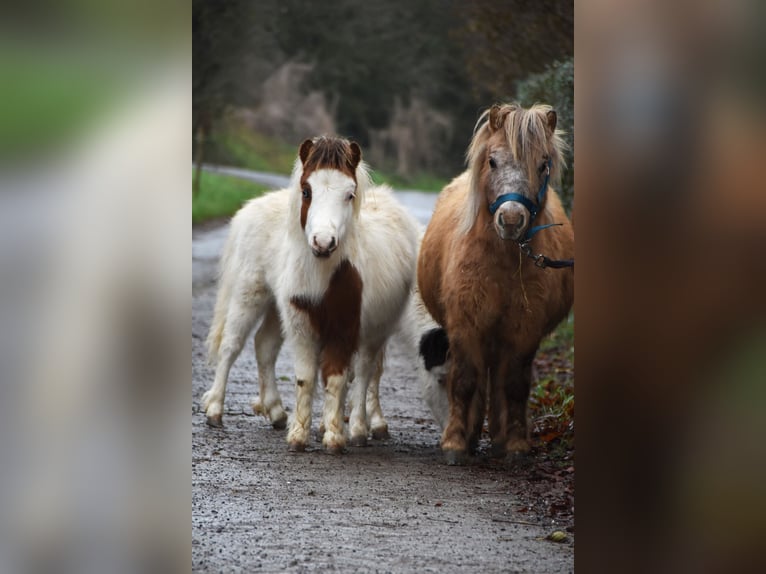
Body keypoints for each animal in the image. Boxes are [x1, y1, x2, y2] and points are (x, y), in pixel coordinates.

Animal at [202, 136, 420, 454]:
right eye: (306, 190)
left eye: (350, 194)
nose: (323, 242)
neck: (326, 277)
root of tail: (249, 209)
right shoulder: (302, 322)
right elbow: (306, 378)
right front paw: (300, 436)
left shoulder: (346, 328)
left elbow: (337, 378)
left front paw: (334, 435)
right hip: (250, 293)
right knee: (232, 345)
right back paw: (216, 410)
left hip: (279, 308)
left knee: (265, 345)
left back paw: (278, 412)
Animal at [420, 102, 576, 464]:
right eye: (492, 161)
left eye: (543, 164)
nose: (512, 219)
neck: (503, 261)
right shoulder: (466, 326)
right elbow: (464, 381)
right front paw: (456, 443)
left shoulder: (523, 332)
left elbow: (515, 385)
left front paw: (515, 444)